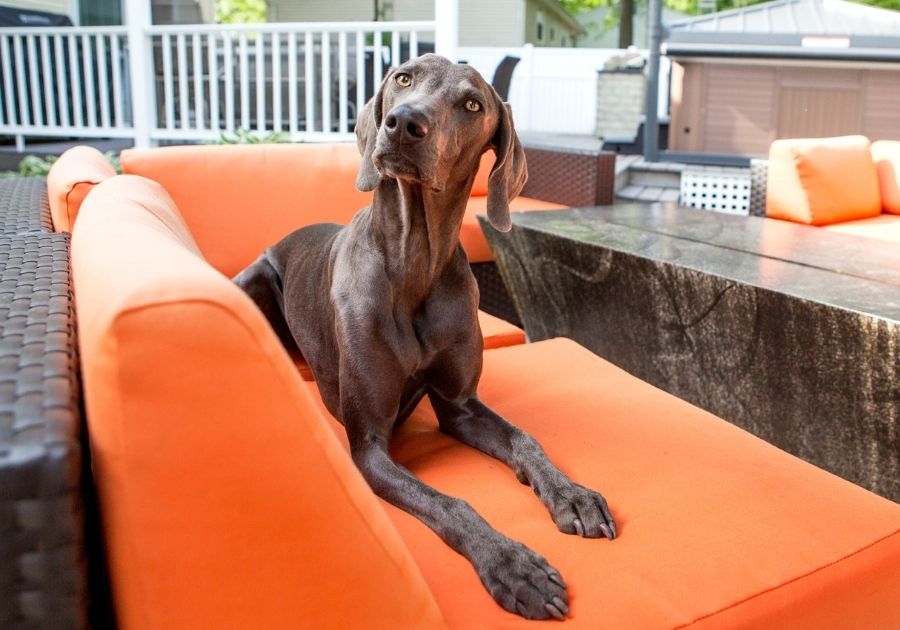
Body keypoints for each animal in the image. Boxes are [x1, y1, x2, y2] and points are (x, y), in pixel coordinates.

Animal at [232, 53, 616, 624]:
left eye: (472, 104)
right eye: (404, 77)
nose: (403, 123)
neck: (413, 262)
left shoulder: (460, 406)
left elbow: (525, 439)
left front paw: (571, 493)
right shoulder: (368, 447)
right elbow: (450, 502)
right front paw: (513, 565)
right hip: (254, 278)